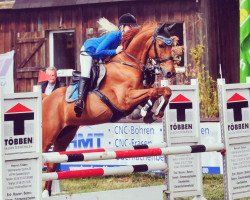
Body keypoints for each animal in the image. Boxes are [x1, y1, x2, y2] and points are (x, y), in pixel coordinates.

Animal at [41, 21, 176, 195]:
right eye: (161, 45)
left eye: (172, 45)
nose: (170, 73)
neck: (128, 64)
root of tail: (46, 99)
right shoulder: (125, 99)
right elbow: (155, 91)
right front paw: (153, 112)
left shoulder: (138, 93)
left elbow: (162, 91)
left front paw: (149, 114)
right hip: (48, 135)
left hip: (65, 134)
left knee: (52, 163)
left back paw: (46, 193)